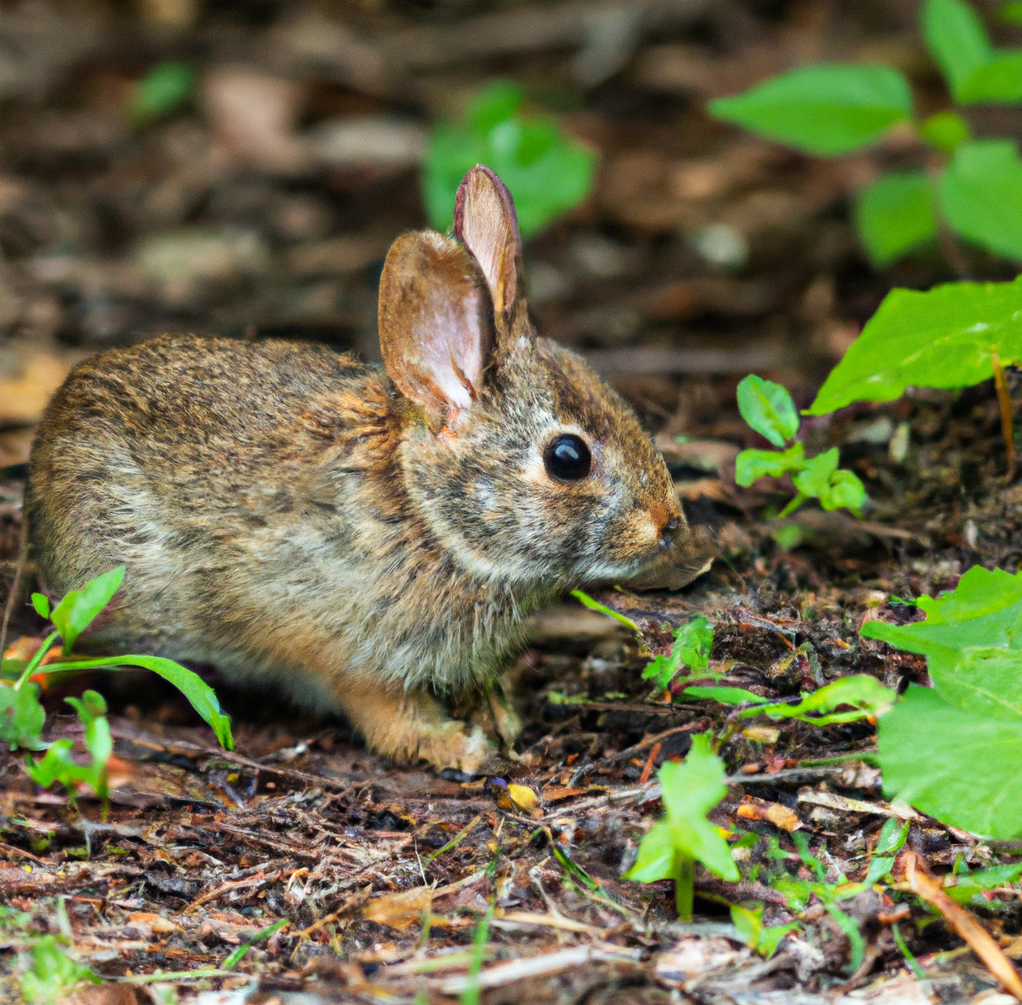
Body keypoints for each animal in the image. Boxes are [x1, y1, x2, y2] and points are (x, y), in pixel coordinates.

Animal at [25, 168, 686, 772]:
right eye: (567, 458)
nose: (669, 524)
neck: (426, 517)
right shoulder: (347, 653)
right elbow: (384, 714)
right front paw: (456, 747)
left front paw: (500, 717)